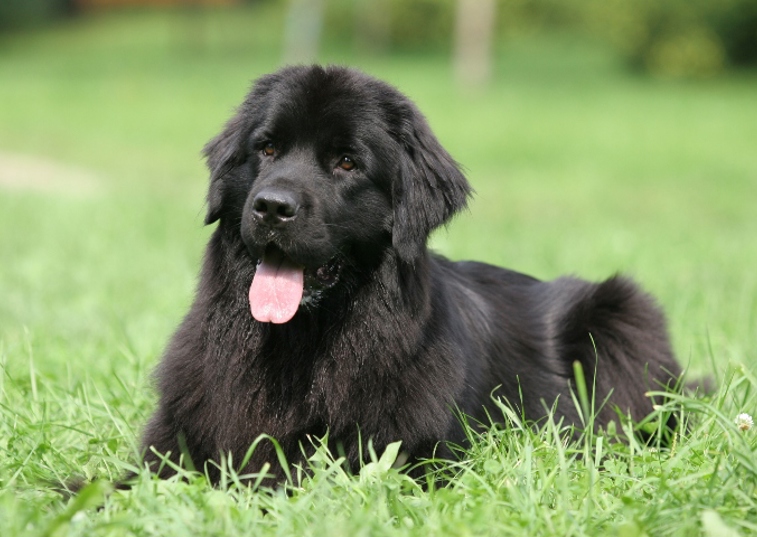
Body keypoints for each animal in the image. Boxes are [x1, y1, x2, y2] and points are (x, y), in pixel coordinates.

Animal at [139, 65, 684, 484]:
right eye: (267, 149)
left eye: (347, 162)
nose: (272, 206)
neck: (300, 346)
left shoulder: (411, 453)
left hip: (621, 310)